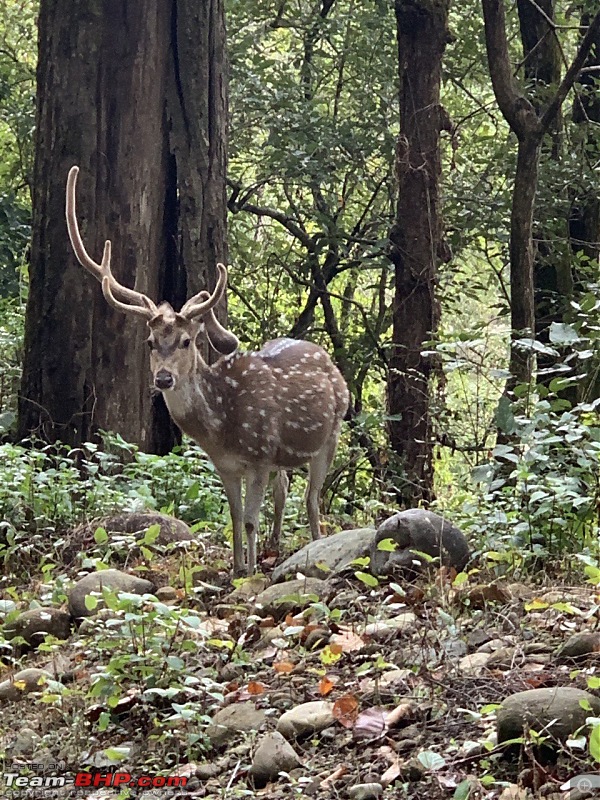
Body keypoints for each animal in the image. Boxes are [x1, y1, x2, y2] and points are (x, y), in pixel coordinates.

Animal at [66, 166, 350, 576]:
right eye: (150, 342)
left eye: (187, 341)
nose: (163, 378)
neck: (222, 426)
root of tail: (331, 365)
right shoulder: (226, 466)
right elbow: (234, 517)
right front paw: (237, 567)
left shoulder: (259, 455)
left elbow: (249, 519)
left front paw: (250, 571)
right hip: (288, 455)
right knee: (284, 491)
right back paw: (276, 546)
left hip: (332, 431)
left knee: (312, 499)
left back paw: (314, 545)